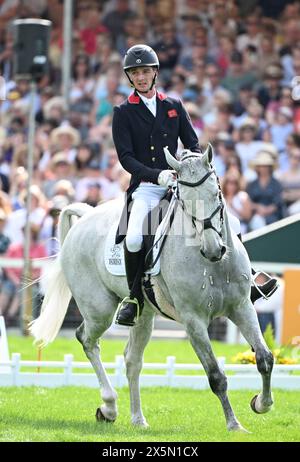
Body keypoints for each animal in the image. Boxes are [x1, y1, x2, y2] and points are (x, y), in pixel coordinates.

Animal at [30, 145, 274, 434]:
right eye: (184, 202)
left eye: (216, 194)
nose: (214, 250)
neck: (212, 265)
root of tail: (85, 217)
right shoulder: (194, 321)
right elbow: (216, 376)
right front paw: (234, 424)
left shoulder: (241, 307)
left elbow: (265, 357)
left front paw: (261, 403)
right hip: (99, 309)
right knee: (87, 339)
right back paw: (109, 407)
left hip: (144, 315)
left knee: (132, 360)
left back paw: (138, 419)